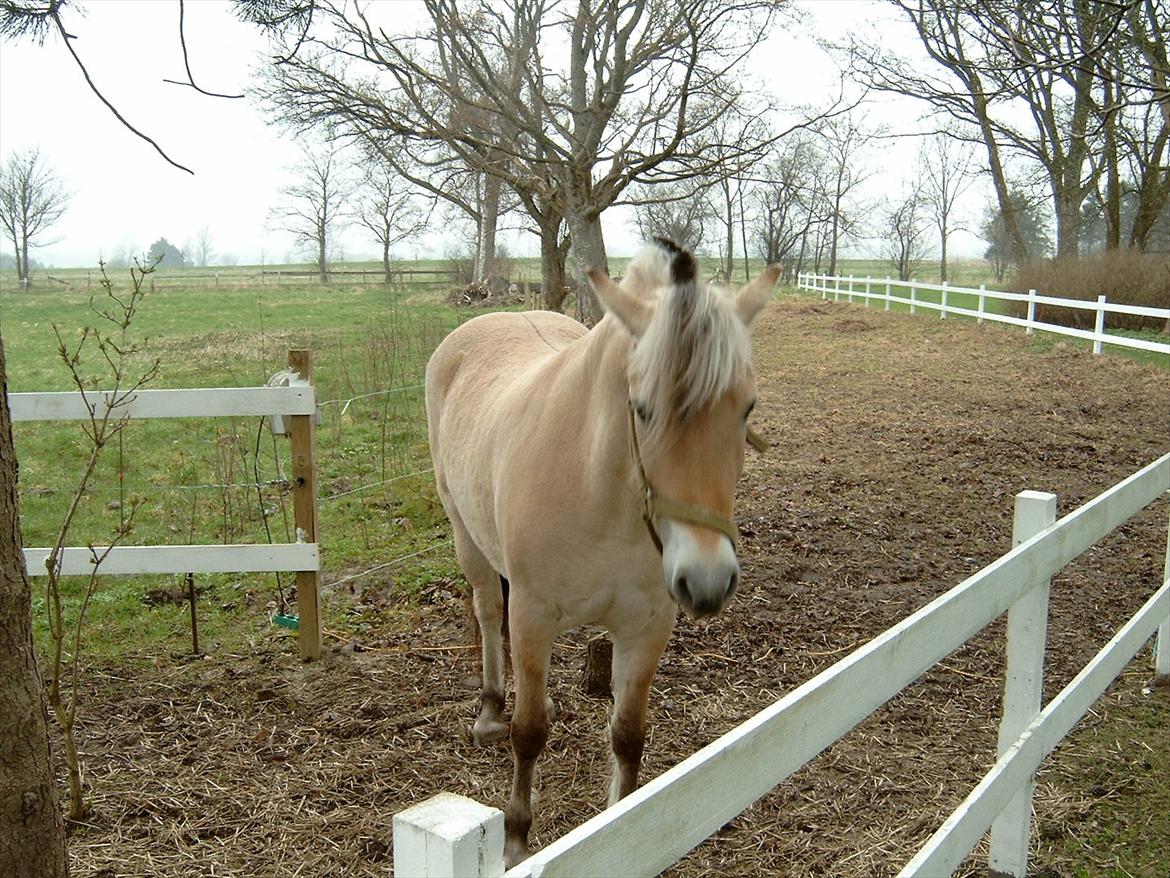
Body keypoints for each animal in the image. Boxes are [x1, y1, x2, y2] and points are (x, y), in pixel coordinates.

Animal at [423, 238, 776, 866]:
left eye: (748, 407)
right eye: (642, 408)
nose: (707, 579)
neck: (603, 497)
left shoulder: (647, 625)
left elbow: (627, 735)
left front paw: (618, 826)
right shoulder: (533, 617)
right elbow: (529, 733)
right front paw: (516, 840)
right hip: (465, 533)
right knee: (488, 610)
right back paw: (490, 708)